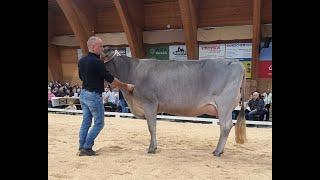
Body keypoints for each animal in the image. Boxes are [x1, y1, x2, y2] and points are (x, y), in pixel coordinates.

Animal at [101, 48, 246, 156]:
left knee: (226, 126)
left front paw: (152, 148)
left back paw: (217, 151)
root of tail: (237, 63)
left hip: (224, 105)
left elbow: (151, 127)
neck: (131, 70)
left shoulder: (150, 103)